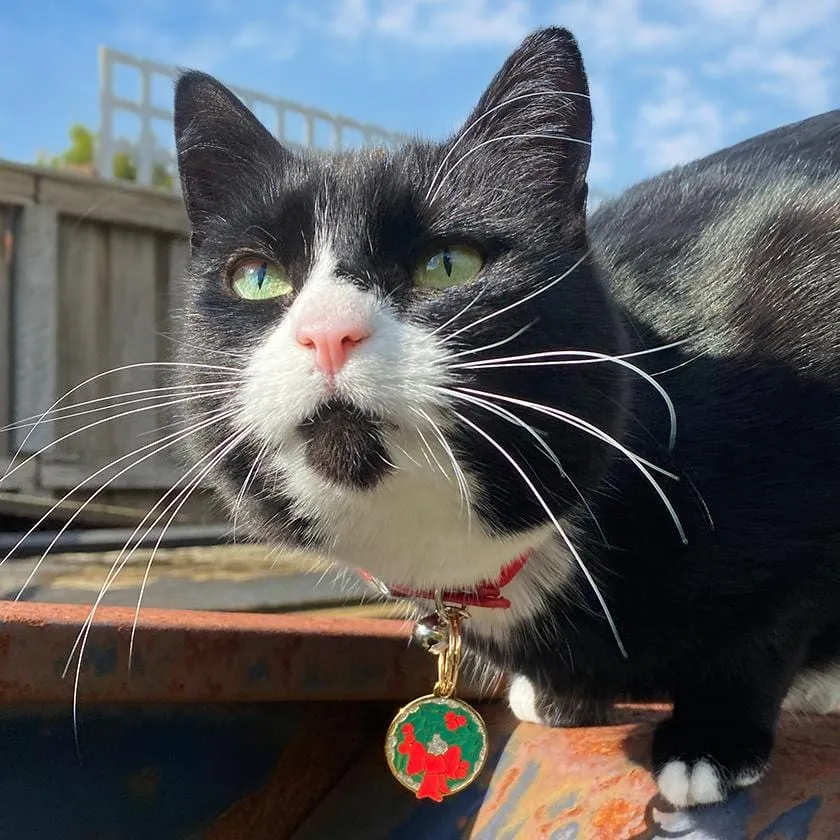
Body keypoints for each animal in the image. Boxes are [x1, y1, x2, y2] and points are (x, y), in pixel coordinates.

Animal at [171, 27, 840, 812]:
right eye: (256, 277)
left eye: (449, 264)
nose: (327, 332)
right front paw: (560, 694)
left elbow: (769, 624)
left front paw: (712, 741)